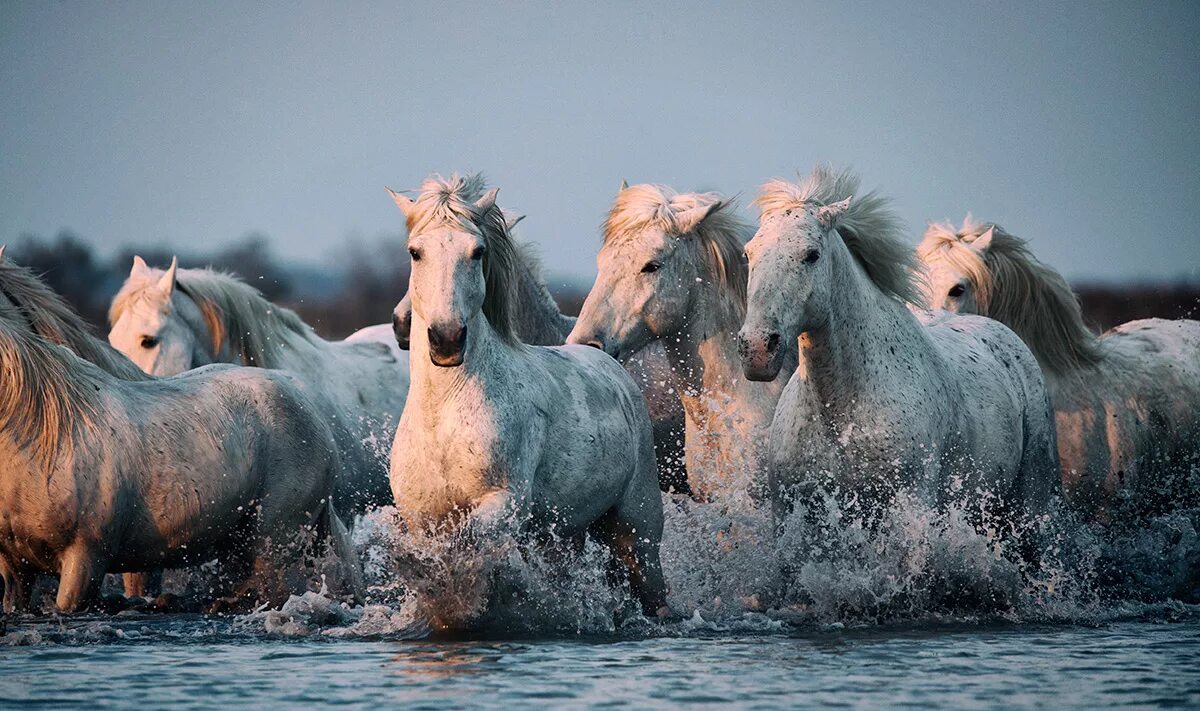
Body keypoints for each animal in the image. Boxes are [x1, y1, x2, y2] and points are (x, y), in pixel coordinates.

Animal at [0, 302, 363, 613]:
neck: (50, 437)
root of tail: (313, 413)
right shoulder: (15, 567)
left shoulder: (85, 559)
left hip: (271, 539)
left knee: (270, 591)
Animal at [736, 166, 1061, 546]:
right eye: (749, 254)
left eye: (812, 254)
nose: (758, 348)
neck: (842, 413)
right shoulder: (792, 517)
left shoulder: (910, 510)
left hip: (1032, 507)